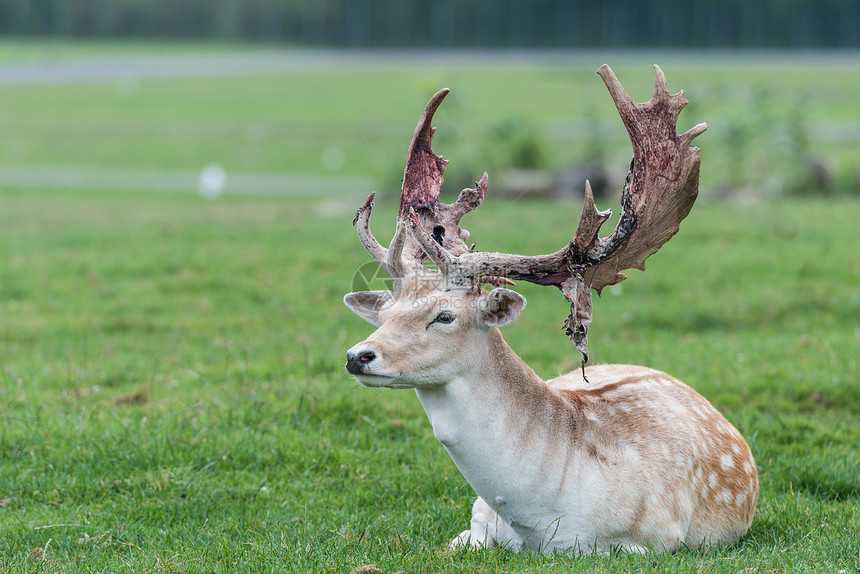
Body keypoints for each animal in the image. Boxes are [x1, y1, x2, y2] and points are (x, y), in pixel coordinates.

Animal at [342, 65, 760, 556]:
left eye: (445, 316)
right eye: (385, 314)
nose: (357, 356)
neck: (538, 521)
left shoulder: (654, 539)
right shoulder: (474, 522)